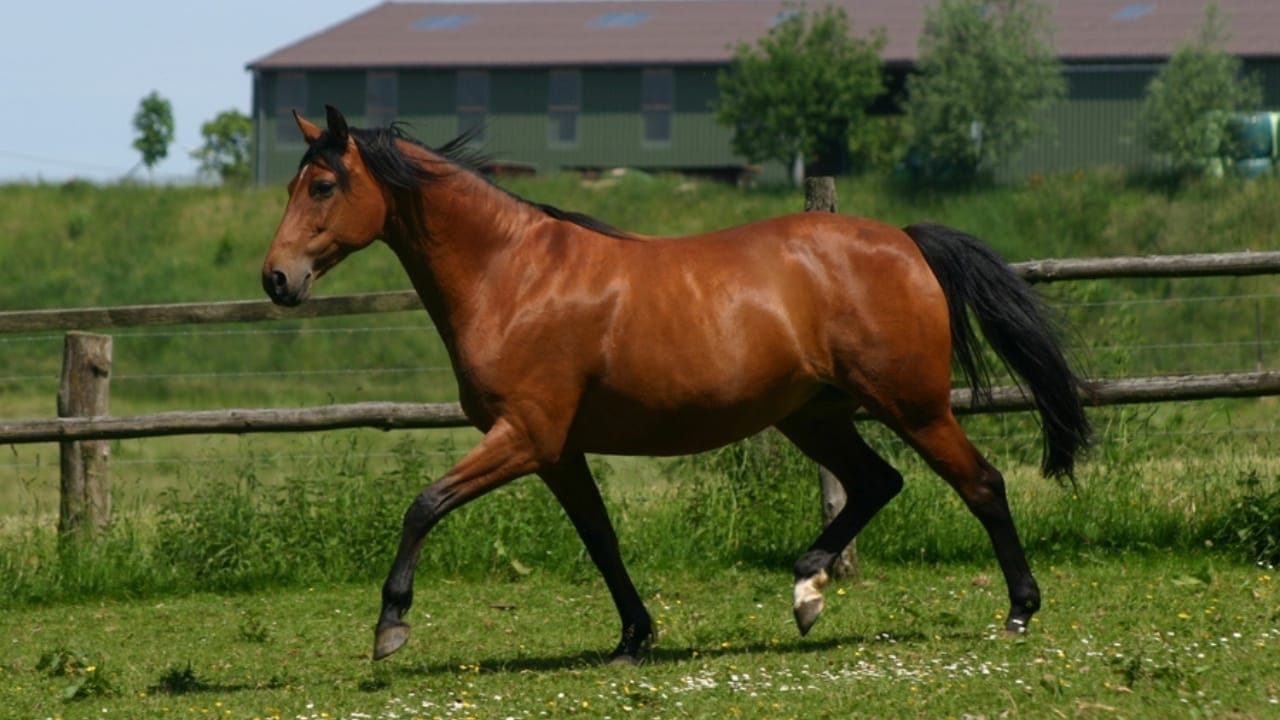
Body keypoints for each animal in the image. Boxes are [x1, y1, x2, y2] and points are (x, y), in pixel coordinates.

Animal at [261, 106, 1091, 665]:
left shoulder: (524, 436)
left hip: (911, 405)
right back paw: (806, 591)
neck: (511, 275)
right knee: (875, 483)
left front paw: (390, 627)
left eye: (324, 184)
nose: (276, 279)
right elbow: (600, 539)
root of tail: (906, 242)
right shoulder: (556, 450)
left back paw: (1019, 611)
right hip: (814, 416)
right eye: (294, 183)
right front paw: (635, 637)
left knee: (981, 484)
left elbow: (425, 504)